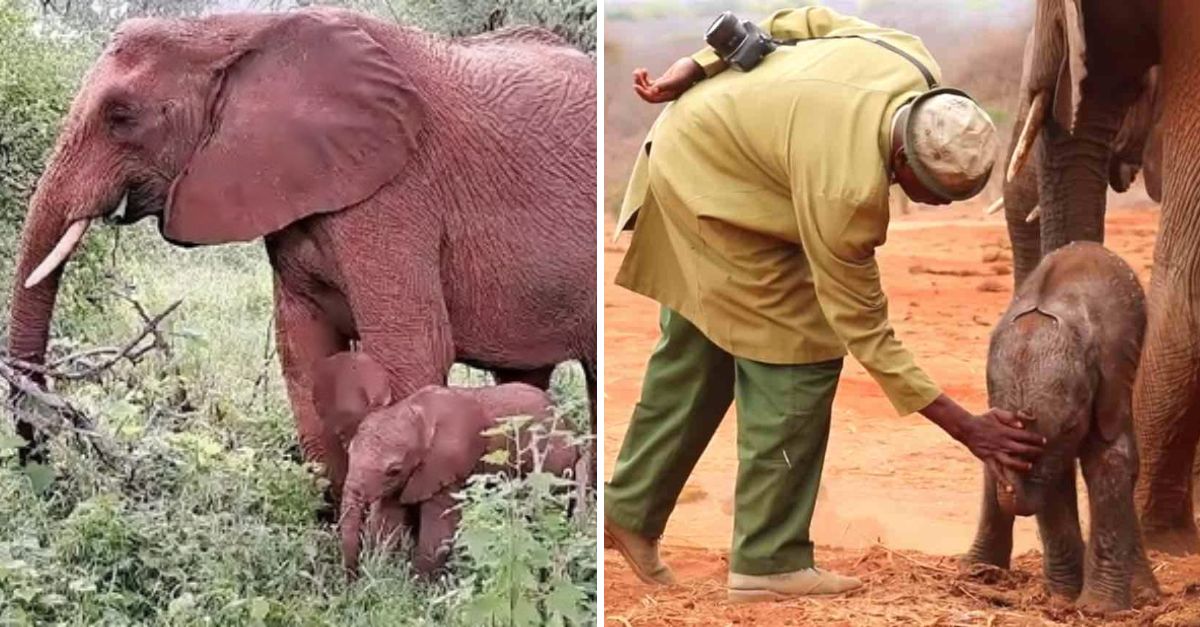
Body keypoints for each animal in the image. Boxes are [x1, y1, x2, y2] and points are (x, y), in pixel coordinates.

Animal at [4, 7, 598, 501]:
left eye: (121, 115)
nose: (41, 465)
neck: (229, 31)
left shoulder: (398, 191)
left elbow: (412, 349)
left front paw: (392, 559)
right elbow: (305, 353)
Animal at [316, 355, 580, 576]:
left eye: (394, 470)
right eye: (350, 453)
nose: (352, 579)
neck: (416, 413)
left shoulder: (447, 466)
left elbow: (439, 523)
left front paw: (418, 584)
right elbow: (387, 518)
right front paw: (383, 571)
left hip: (552, 464)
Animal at [964, 242, 1158, 612]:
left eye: (1070, 427)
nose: (1023, 417)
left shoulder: (1111, 377)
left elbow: (1108, 461)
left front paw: (1097, 610)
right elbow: (1054, 479)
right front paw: (1063, 599)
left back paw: (1144, 593)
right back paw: (975, 573)